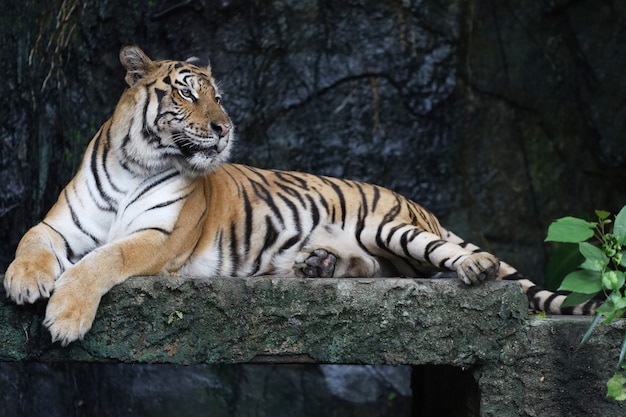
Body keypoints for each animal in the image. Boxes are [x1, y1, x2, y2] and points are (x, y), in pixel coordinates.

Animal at [2, 44, 596, 344]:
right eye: (188, 92)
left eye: (219, 96)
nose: (224, 128)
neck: (135, 161)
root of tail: (420, 207)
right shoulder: (59, 223)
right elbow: (30, 238)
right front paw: (25, 281)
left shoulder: (159, 237)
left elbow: (104, 260)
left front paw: (65, 318)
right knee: (379, 268)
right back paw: (317, 265)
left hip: (390, 225)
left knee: (458, 256)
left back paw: (472, 269)